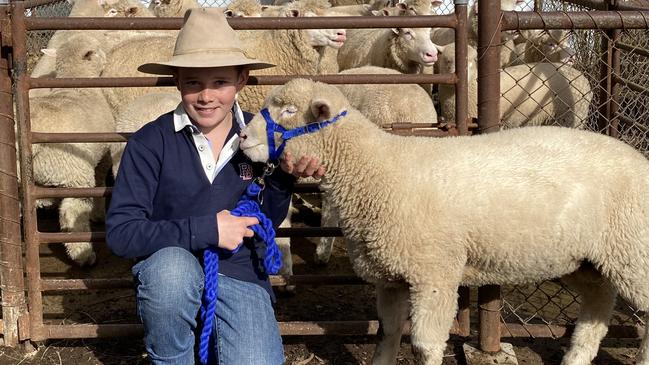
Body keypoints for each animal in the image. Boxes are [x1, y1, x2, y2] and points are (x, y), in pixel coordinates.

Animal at [29, 34, 114, 266]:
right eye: (97, 49)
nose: (107, 57)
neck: (77, 85)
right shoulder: (103, 151)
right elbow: (101, 179)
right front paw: (98, 214)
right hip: (73, 172)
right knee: (72, 212)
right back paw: (83, 255)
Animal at [238, 77, 648, 364]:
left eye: (289, 111)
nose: (242, 137)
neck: (376, 170)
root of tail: (639, 159)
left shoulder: (434, 273)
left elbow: (424, 346)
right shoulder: (390, 276)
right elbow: (387, 334)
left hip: (634, 253)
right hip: (589, 260)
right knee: (597, 308)